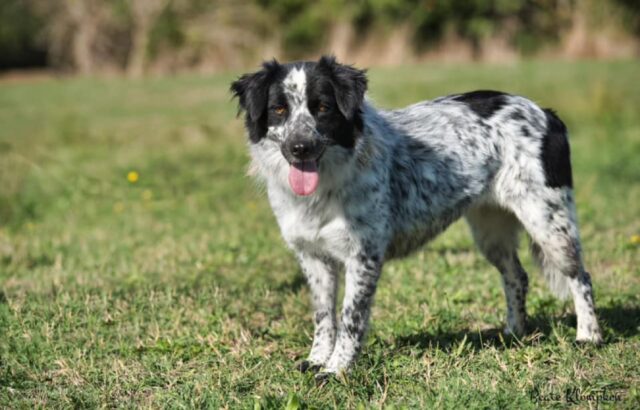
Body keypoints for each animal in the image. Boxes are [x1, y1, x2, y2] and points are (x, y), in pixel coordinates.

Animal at [230, 56, 600, 376]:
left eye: (322, 108)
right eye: (279, 109)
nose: (300, 148)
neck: (327, 183)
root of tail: (547, 113)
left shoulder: (363, 256)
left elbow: (350, 318)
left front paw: (337, 370)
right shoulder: (313, 257)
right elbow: (324, 316)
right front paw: (318, 359)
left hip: (549, 224)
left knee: (580, 276)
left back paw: (588, 336)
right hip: (490, 231)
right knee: (517, 276)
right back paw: (514, 332)